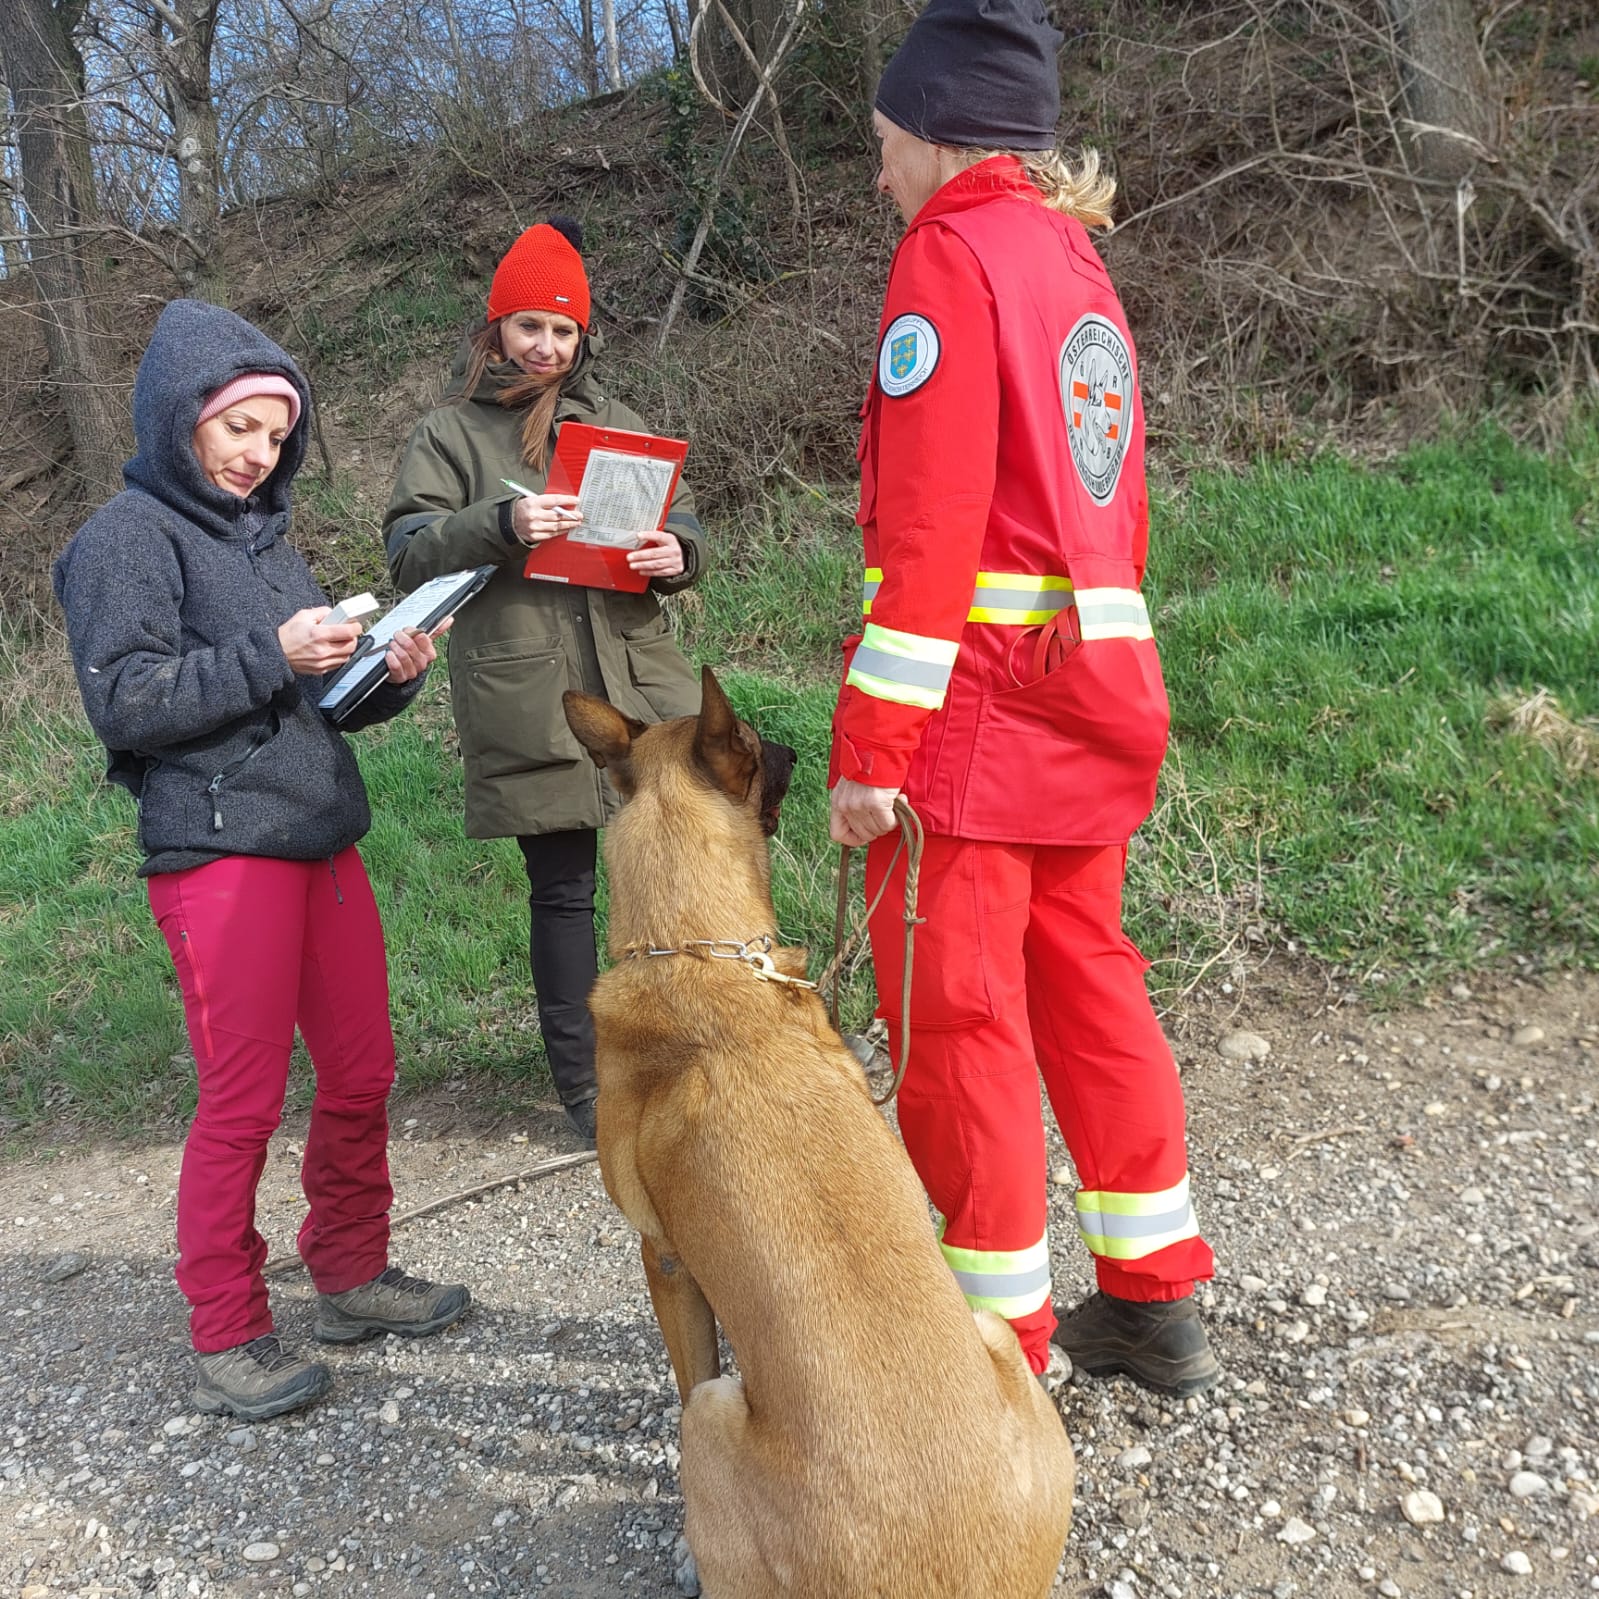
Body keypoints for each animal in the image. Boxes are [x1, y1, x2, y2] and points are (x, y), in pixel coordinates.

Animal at [562, 666, 1074, 1598]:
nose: (805, 746)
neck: (698, 954)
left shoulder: (663, 1260)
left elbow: (687, 1358)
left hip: (712, 1417)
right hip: (990, 1328)